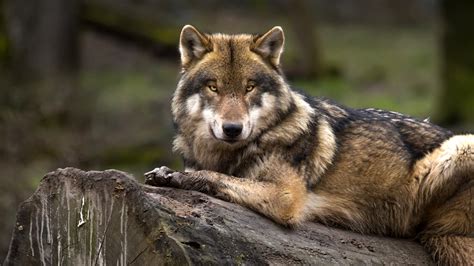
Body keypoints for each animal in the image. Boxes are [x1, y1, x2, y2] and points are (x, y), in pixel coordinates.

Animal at [145, 24, 474, 264]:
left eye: (249, 87)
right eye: (213, 87)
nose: (233, 129)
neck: (228, 154)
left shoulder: (285, 196)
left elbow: (215, 177)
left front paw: (175, 177)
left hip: (460, 149)